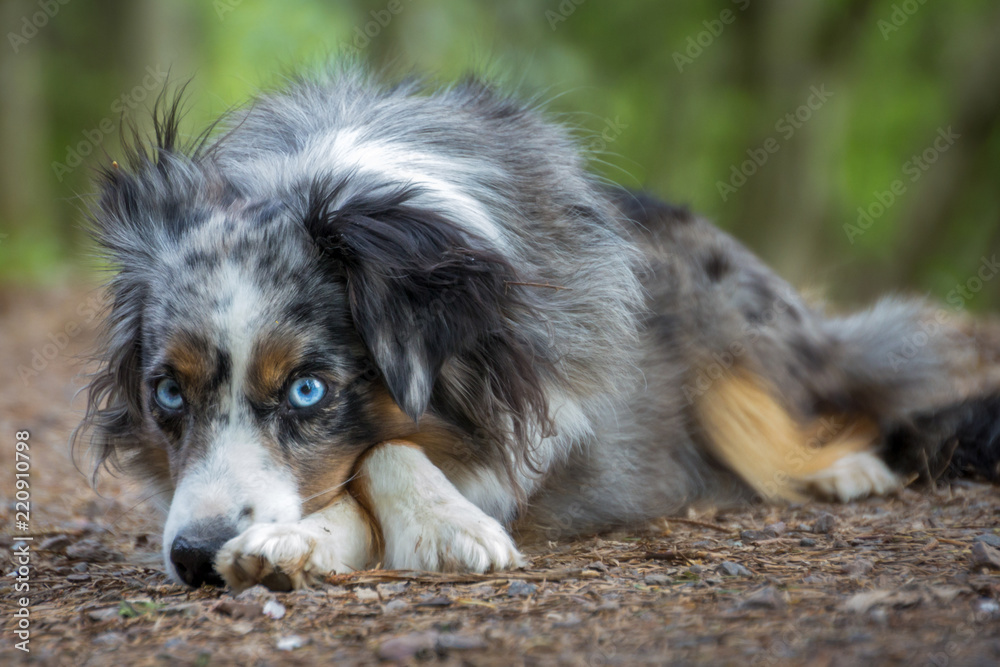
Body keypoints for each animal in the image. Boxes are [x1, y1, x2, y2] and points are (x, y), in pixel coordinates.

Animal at [76, 66, 1000, 588]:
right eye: (167, 393)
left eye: (307, 389)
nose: (194, 556)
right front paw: (289, 542)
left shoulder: (548, 435)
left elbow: (383, 449)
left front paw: (442, 529)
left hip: (733, 331)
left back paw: (847, 467)